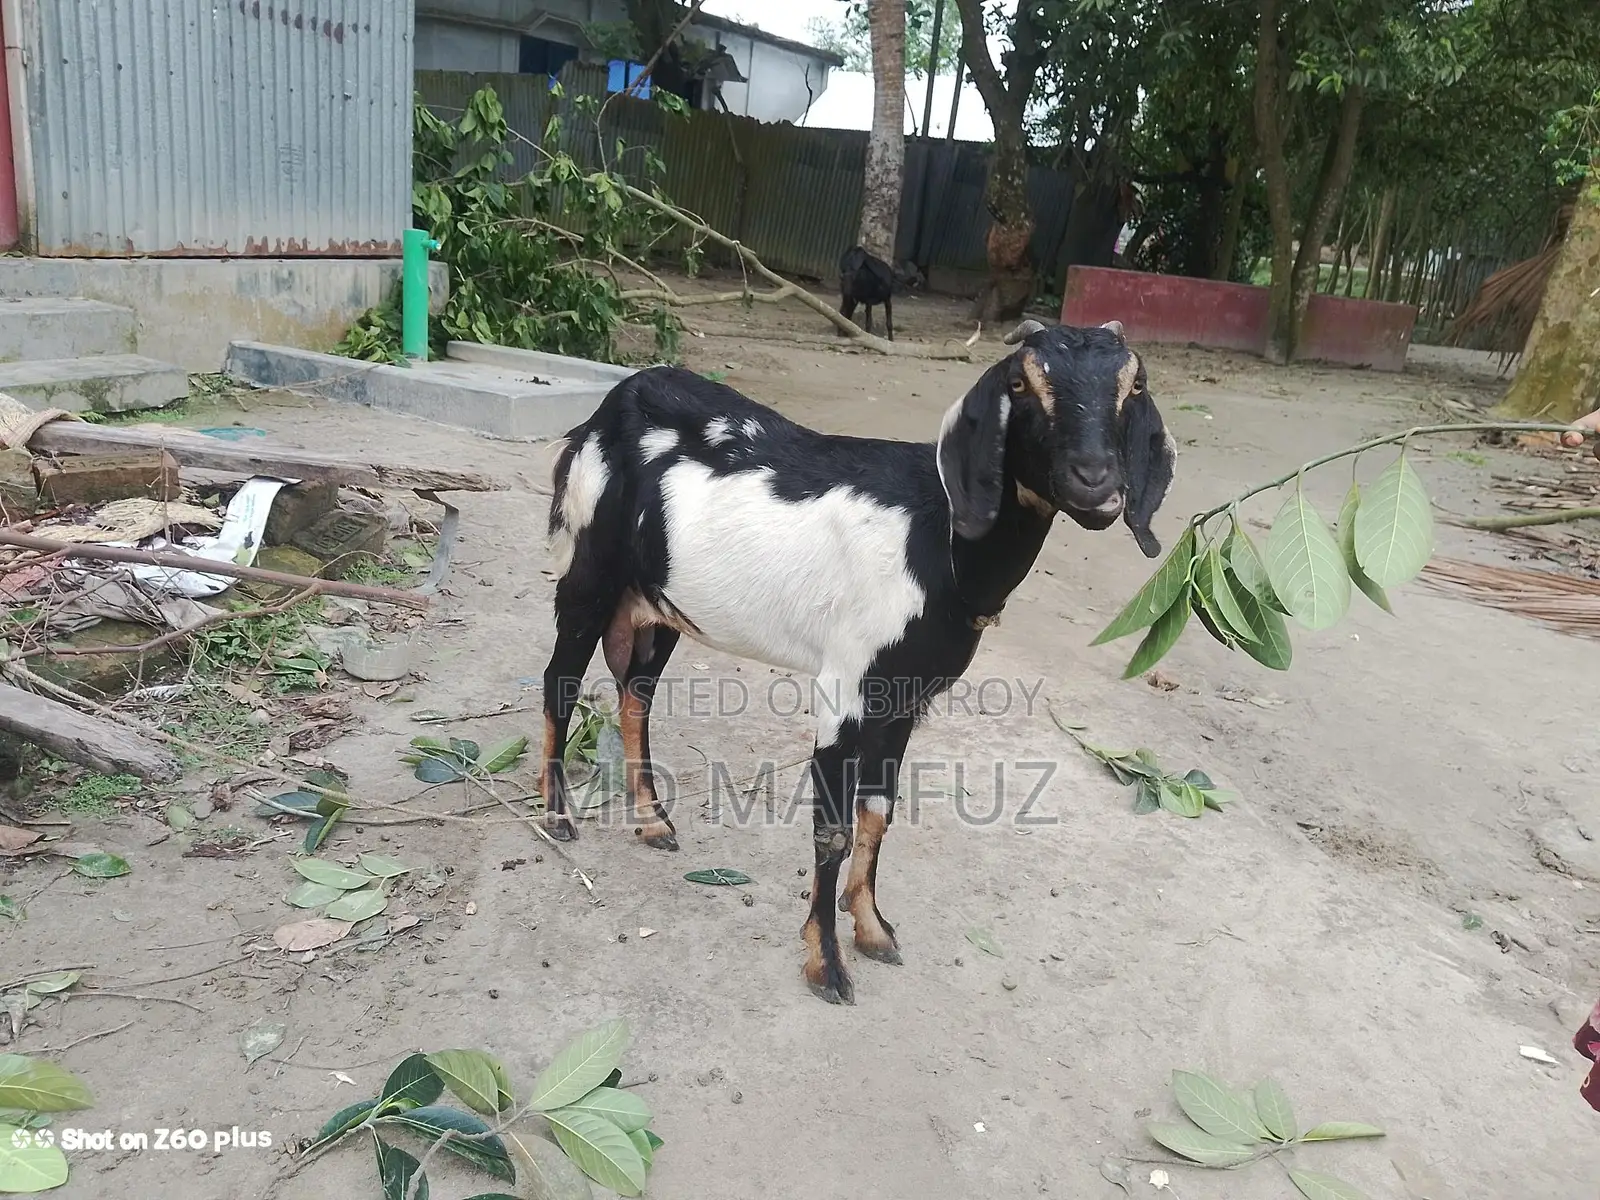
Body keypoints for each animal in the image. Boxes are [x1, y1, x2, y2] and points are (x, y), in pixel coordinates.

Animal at [540, 318, 1177, 1004]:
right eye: (1020, 384)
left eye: (1133, 386)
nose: (1095, 481)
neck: (940, 537)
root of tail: (608, 409)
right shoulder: (844, 689)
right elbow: (833, 831)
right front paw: (826, 964)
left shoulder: (903, 700)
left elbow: (878, 816)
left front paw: (871, 928)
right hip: (589, 571)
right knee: (560, 684)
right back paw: (557, 819)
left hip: (656, 606)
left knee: (635, 696)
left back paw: (654, 823)